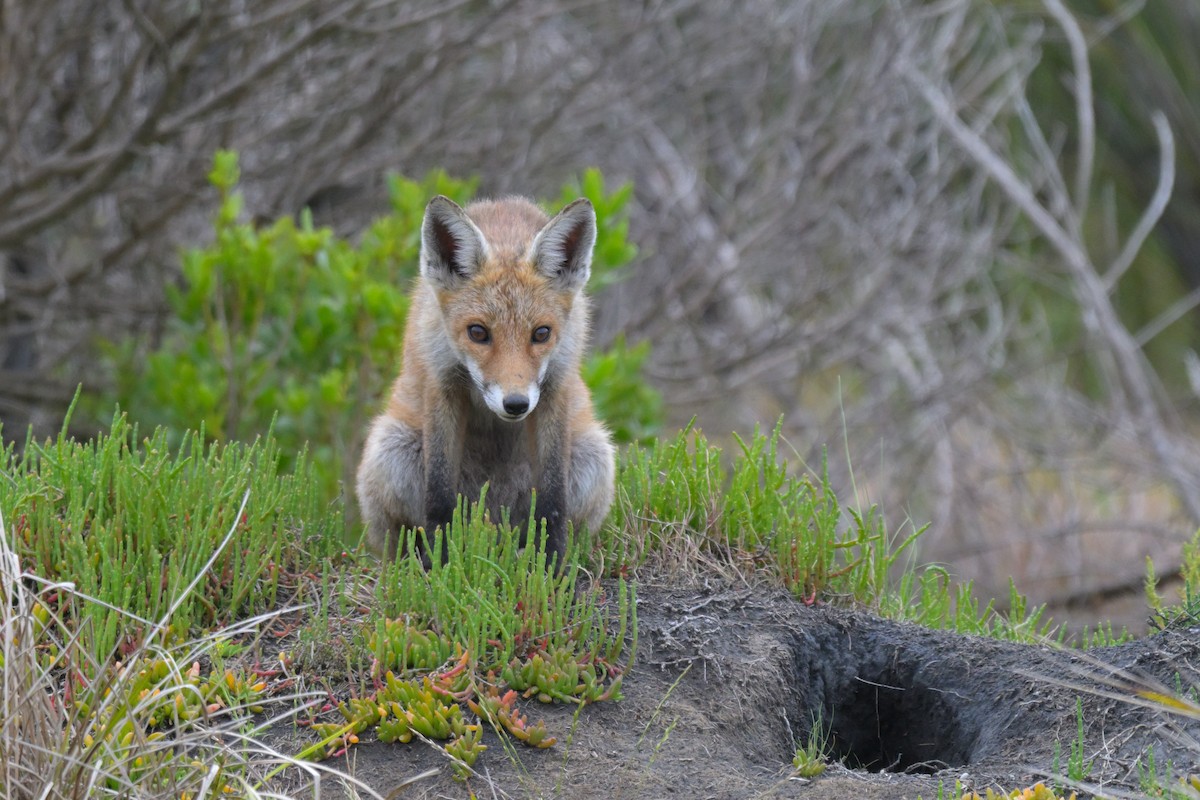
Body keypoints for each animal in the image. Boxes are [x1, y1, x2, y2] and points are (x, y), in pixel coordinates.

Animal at [356, 194, 616, 568]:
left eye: (541, 334)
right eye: (478, 332)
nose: (516, 404)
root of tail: (495, 520)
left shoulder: (556, 387)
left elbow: (553, 498)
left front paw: (549, 561)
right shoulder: (442, 384)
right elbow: (439, 494)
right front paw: (441, 562)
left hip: (593, 454)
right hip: (392, 448)